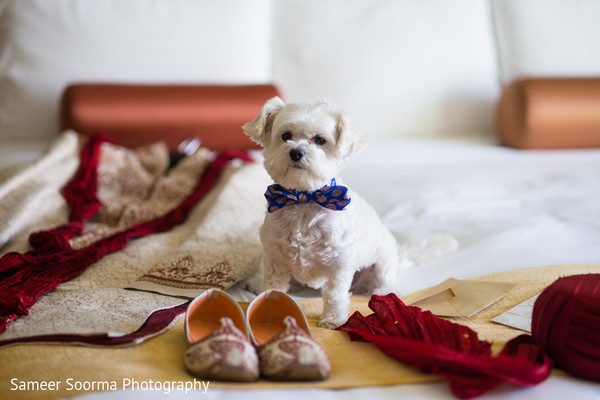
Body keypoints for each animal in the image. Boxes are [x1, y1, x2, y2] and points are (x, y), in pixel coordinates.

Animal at [241, 97, 400, 328]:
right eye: (286, 136)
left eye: (320, 140)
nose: (296, 152)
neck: (305, 196)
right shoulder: (275, 257)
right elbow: (273, 286)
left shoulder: (339, 263)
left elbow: (335, 295)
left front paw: (332, 320)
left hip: (382, 262)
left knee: (387, 280)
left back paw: (385, 292)